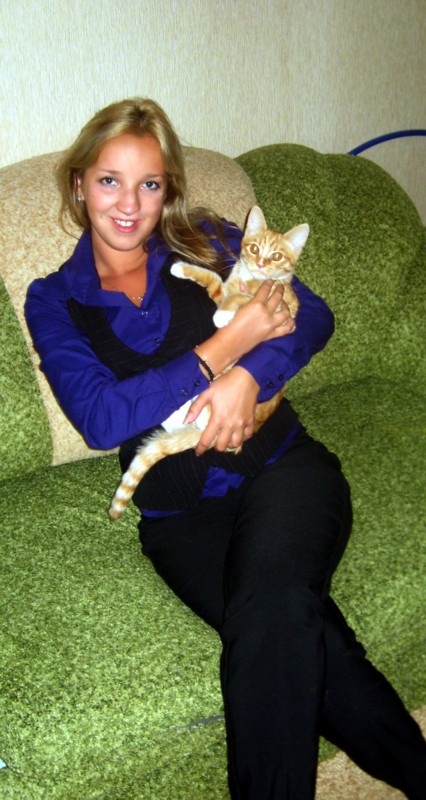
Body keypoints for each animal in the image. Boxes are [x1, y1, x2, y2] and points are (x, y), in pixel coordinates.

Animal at [109, 205, 309, 520]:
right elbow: (213, 279)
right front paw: (182, 269)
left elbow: (243, 301)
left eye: (276, 256)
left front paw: (226, 315)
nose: (260, 264)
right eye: (254, 248)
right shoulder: (221, 291)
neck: (249, 277)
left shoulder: (279, 303)